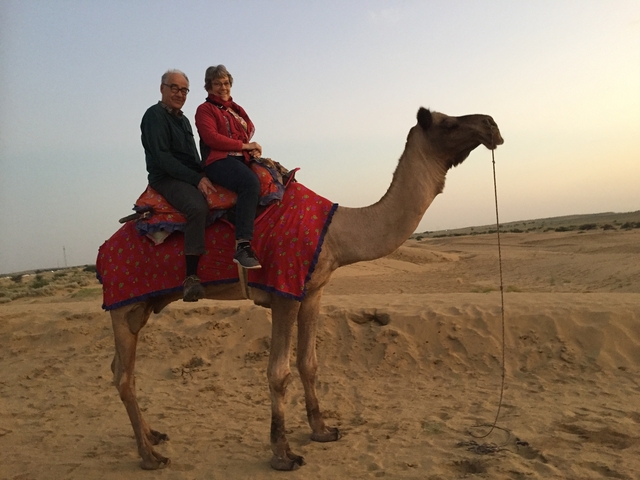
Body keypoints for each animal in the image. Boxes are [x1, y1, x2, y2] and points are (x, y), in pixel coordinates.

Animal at [109, 107, 503, 470]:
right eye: (447, 122)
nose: (492, 124)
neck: (337, 231)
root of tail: (102, 250)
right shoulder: (283, 291)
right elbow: (278, 372)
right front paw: (283, 454)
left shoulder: (312, 291)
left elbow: (308, 363)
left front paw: (323, 430)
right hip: (122, 303)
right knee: (124, 377)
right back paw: (150, 456)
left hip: (139, 307)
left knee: (118, 369)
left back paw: (153, 435)